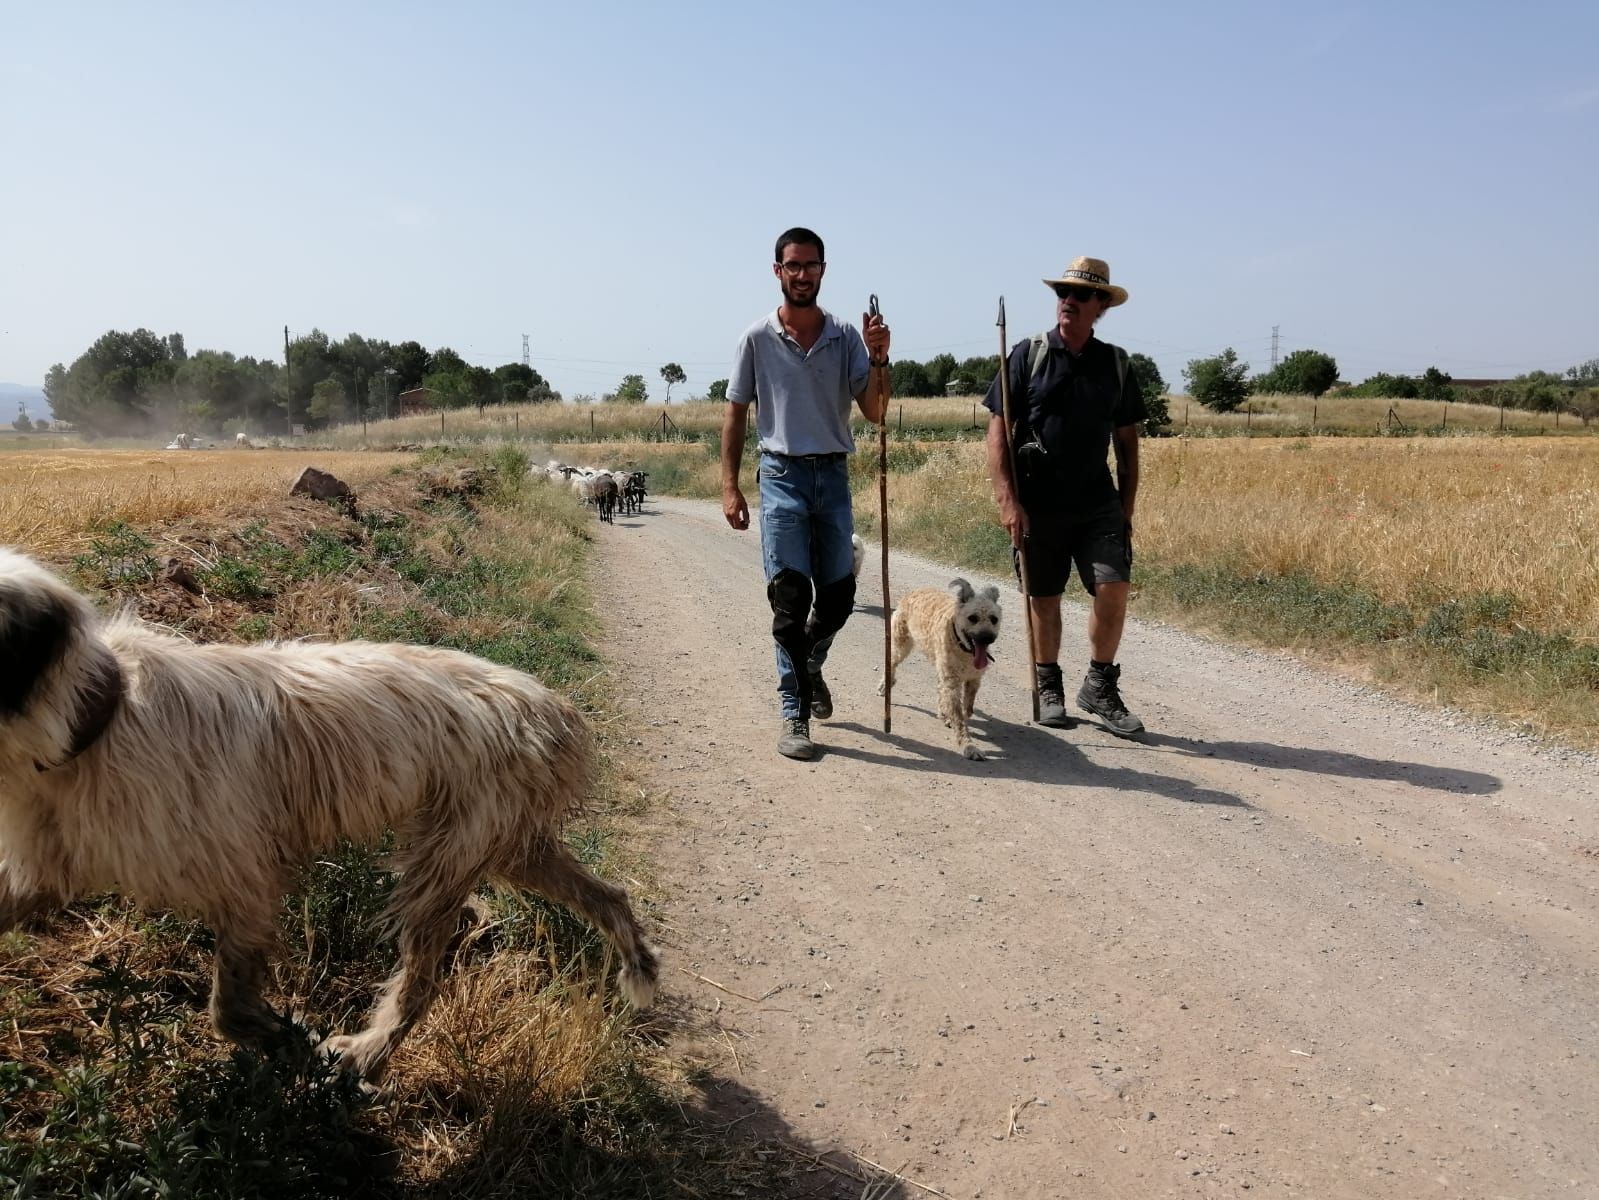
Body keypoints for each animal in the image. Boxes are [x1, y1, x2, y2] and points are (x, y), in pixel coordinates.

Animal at [0, 550, 658, 1088]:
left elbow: (228, 1006)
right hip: (508, 845)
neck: (98, 717)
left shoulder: (246, 882)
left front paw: (287, 1041)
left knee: (421, 982)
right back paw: (639, 965)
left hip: (447, 859)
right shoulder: (44, 867)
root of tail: (552, 706)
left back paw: (369, 1053)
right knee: (609, 896)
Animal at [882, 579, 991, 761]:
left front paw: (950, 717)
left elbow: (965, 706)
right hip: (901, 643)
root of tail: (914, 592)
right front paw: (968, 745)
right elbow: (958, 712)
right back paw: (886, 685)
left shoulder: (971, 679)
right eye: (973, 618)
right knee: (892, 662)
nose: (986, 637)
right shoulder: (951, 679)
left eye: (994, 619)